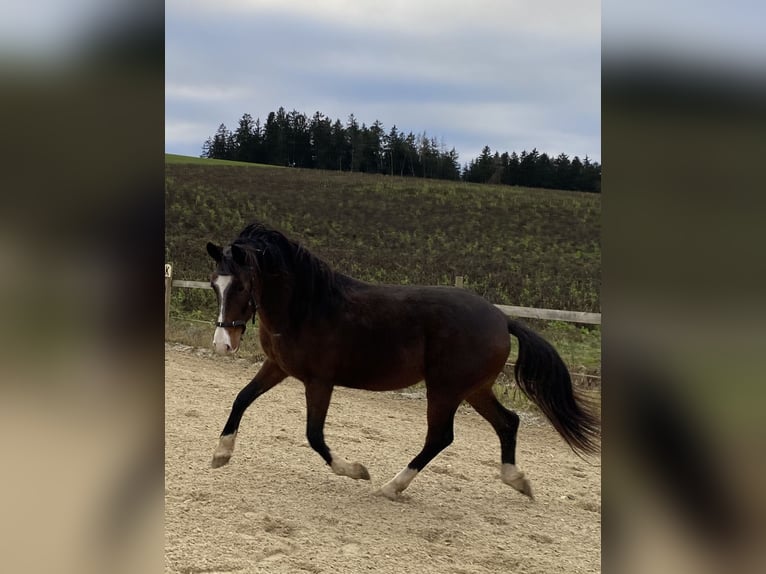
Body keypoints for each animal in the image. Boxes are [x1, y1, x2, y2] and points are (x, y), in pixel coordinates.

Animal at [208, 223, 600, 502]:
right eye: (215, 285)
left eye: (240, 286)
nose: (223, 344)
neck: (305, 308)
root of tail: (502, 319)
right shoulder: (278, 367)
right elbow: (241, 399)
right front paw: (220, 454)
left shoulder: (319, 381)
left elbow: (314, 435)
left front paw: (356, 470)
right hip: (474, 389)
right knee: (508, 422)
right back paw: (517, 481)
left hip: (444, 390)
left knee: (440, 436)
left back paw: (391, 486)